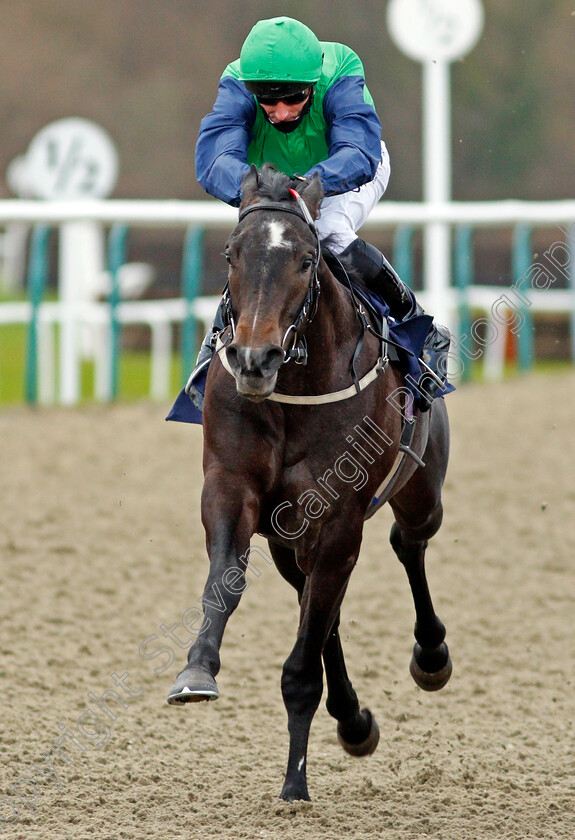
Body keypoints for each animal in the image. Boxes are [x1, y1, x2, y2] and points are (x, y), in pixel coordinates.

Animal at [169, 164, 452, 800]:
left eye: (304, 259)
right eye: (231, 254)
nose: (254, 358)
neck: (293, 387)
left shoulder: (340, 517)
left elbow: (303, 662)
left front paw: (294, 786)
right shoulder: (231, 487)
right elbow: (226, 581)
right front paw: (198, 668)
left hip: (421, 491)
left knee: (408, 543)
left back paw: (431, 655)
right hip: (288, 541)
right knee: (324, 611)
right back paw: (352, 718)